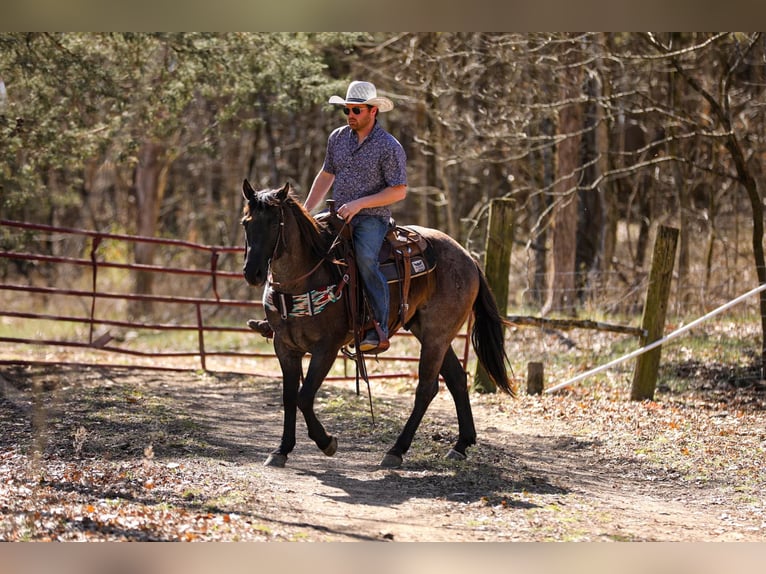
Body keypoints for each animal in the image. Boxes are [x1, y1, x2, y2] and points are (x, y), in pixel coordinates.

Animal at [240, 179, 514, 468]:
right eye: (246, 223)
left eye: (274, 224)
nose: (252, 273)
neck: (306, 277)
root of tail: (468, 258)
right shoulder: (285, 347)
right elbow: (289, 397)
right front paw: (281, 450)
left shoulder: (326, 348)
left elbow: (304, 397)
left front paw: (327, 442)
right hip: (431, 333)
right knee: (457, 379)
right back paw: (460, 445)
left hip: (436, 336)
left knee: (426, 388)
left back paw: (396, 450)